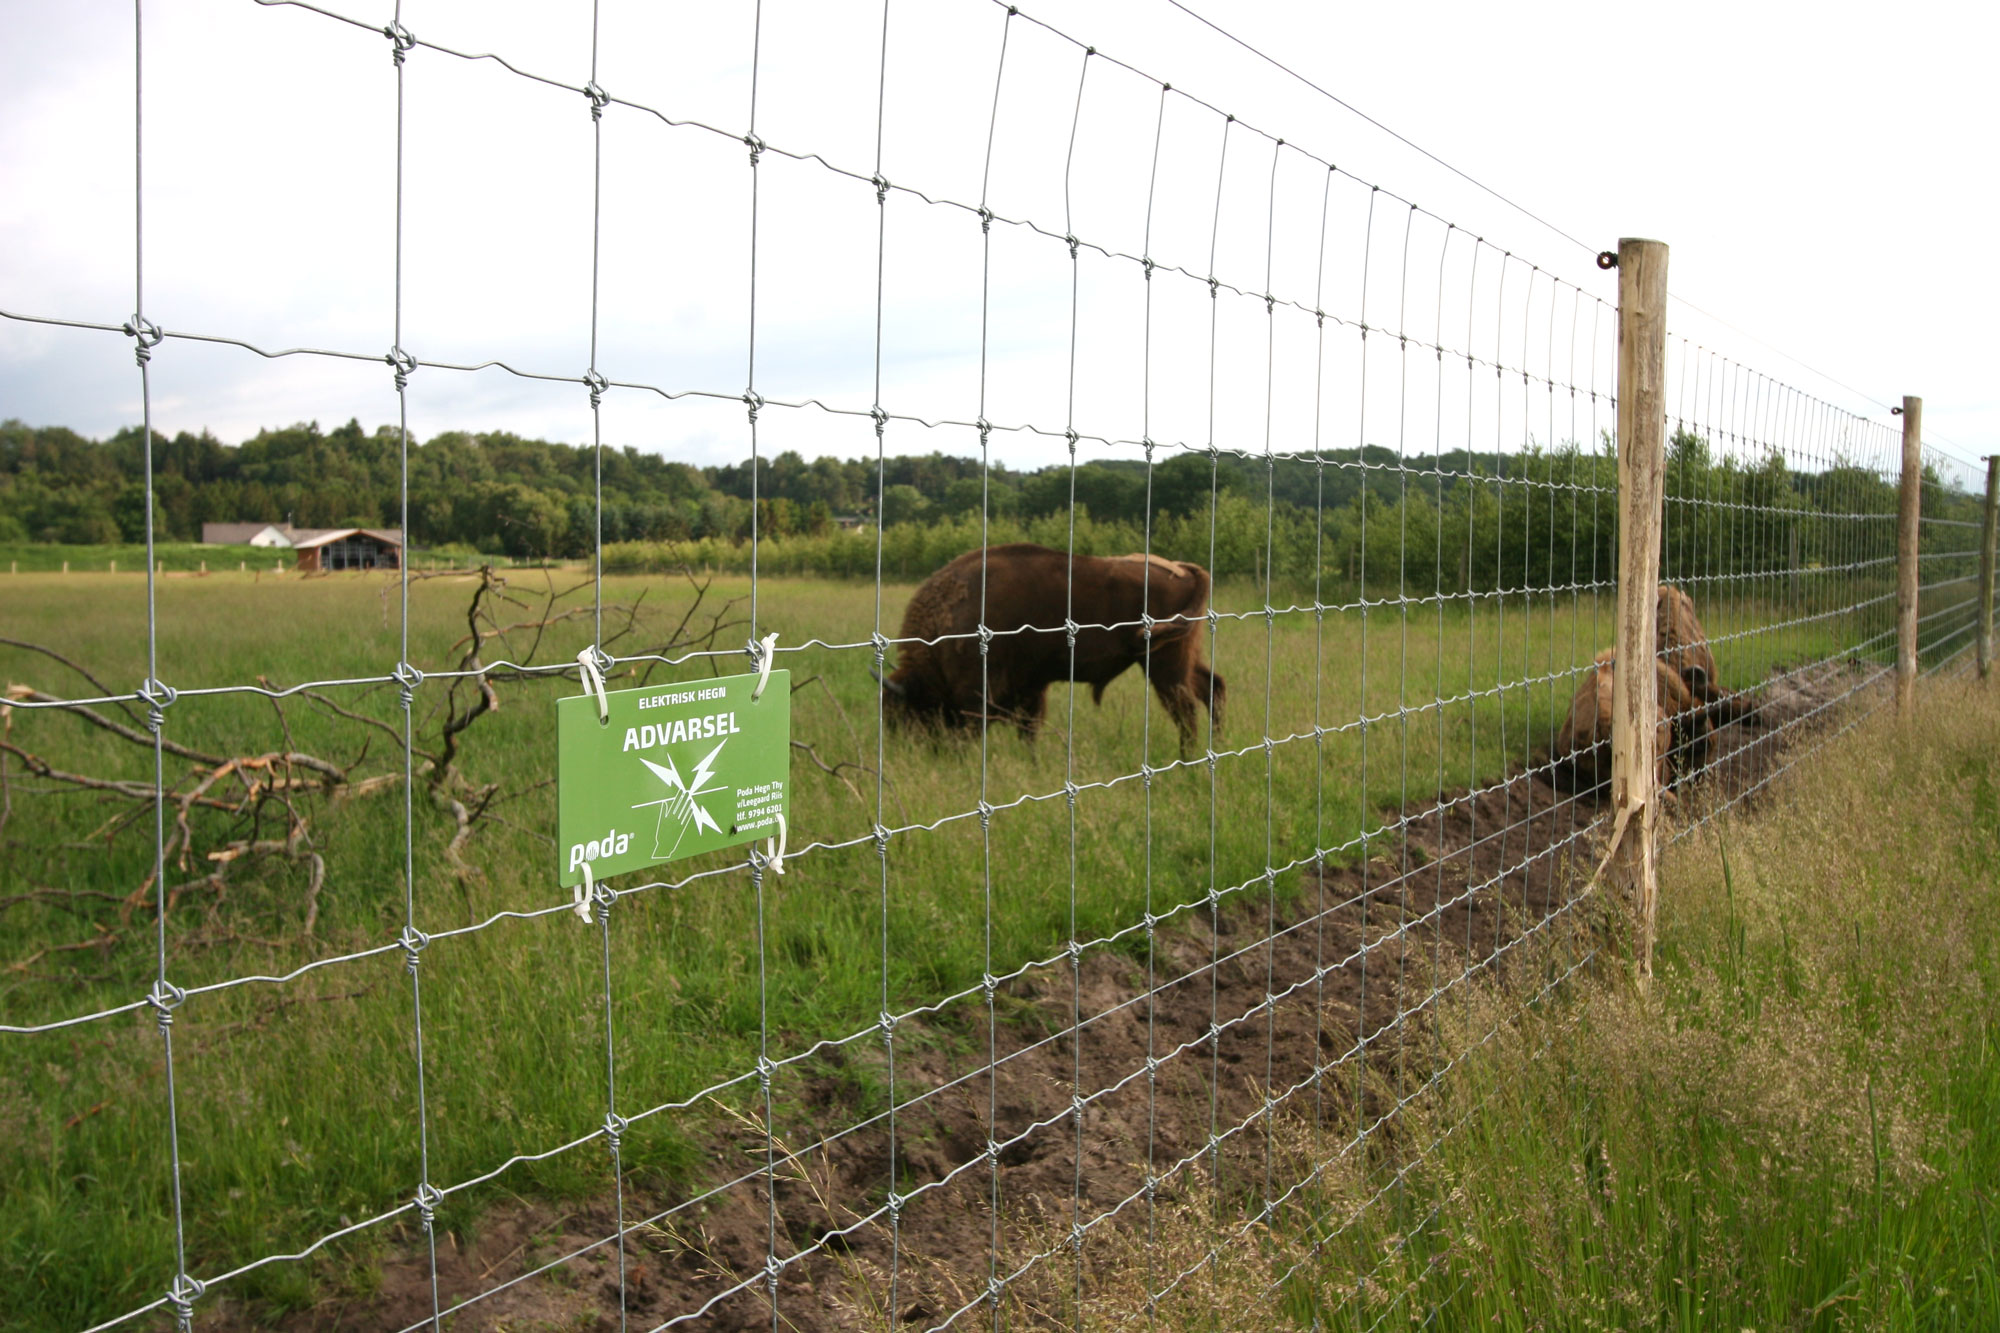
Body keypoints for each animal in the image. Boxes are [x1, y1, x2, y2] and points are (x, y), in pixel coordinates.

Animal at [872, 540, 1216, 748]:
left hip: (1164, 664)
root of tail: (1184, 570)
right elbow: (1028, 732)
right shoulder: (1030, 687)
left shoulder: (980, 694)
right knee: (1212, 687)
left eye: (906, 713)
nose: (911, 749)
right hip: (1184, 656)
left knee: (1185, 709)